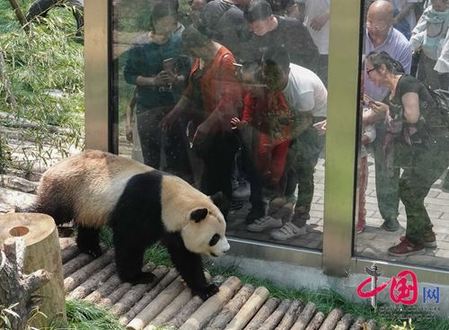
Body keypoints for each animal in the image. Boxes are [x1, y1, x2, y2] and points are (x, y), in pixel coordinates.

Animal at [32, 150, 229, 300]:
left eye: (224, 232)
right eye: (214, 238)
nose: (226, 249)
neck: (171, 199)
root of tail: (55, 166)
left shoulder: (173, 226)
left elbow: (186, 258)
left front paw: (206, 289)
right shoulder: (142, 206)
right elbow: (129, 242)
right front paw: (139, 276)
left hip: (87, 201)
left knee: (88, 223)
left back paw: (90, 248)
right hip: (68, 188)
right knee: (50, 210)